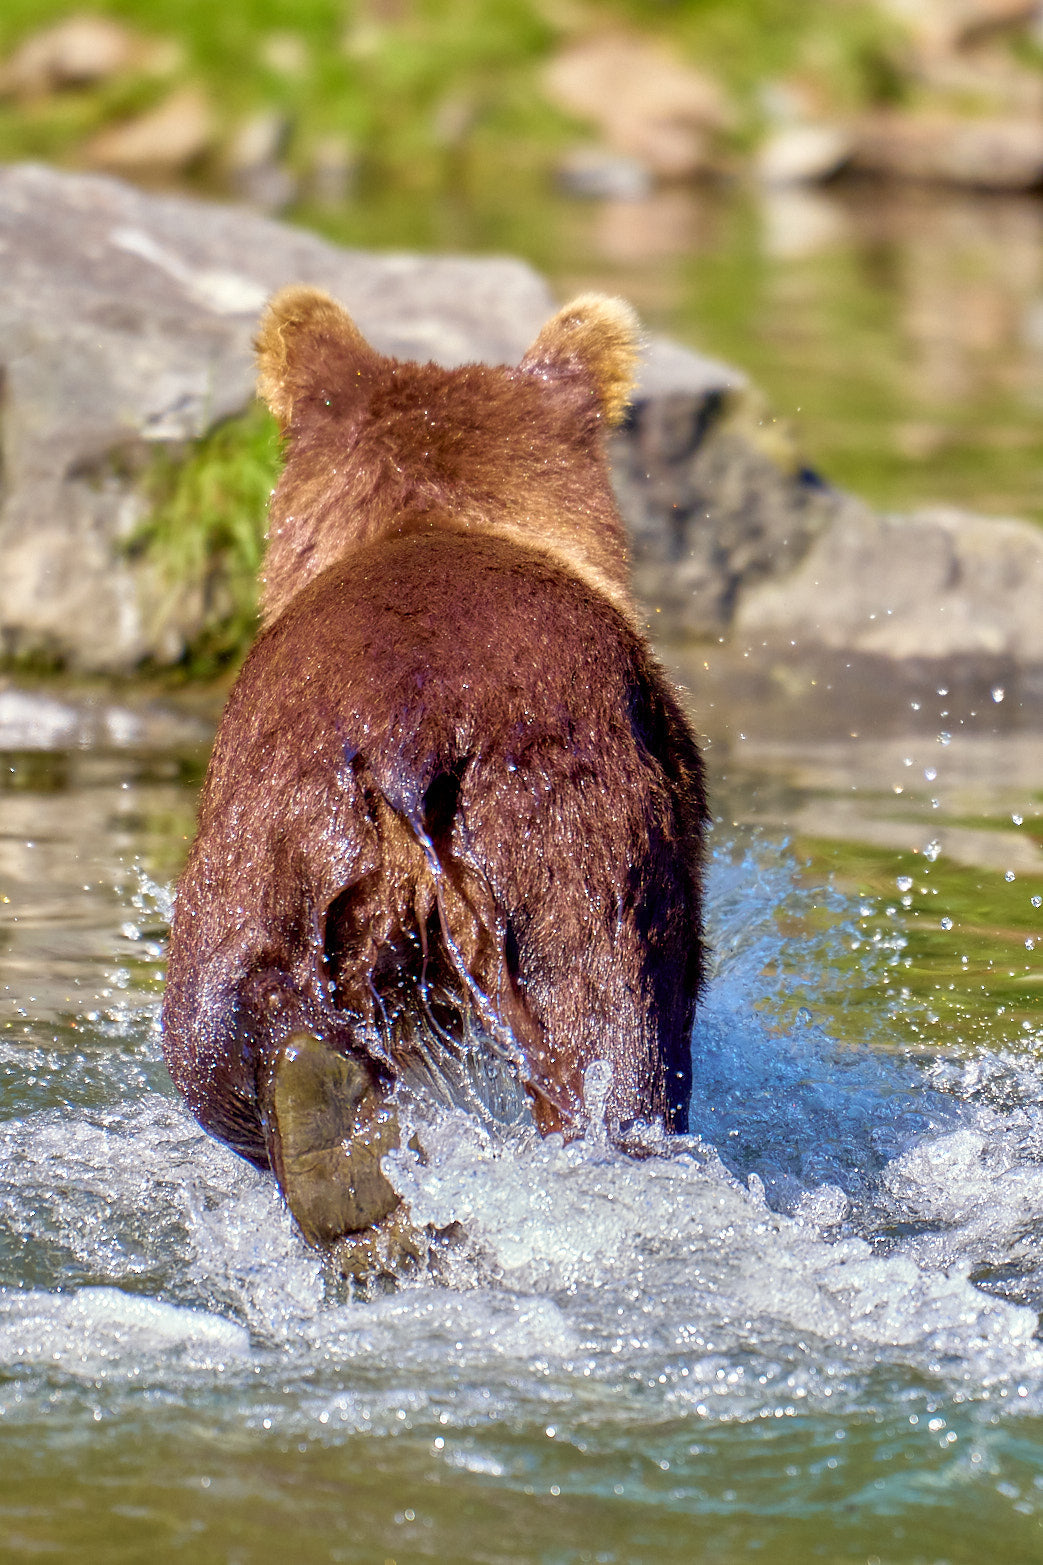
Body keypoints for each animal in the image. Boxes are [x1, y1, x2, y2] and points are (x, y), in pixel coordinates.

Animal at [161, 285, 708, 1261]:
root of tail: (408, 744)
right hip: (567, 836)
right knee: (617, 1048)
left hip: (266, 839)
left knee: (220, 1030)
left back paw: (334, 1150)